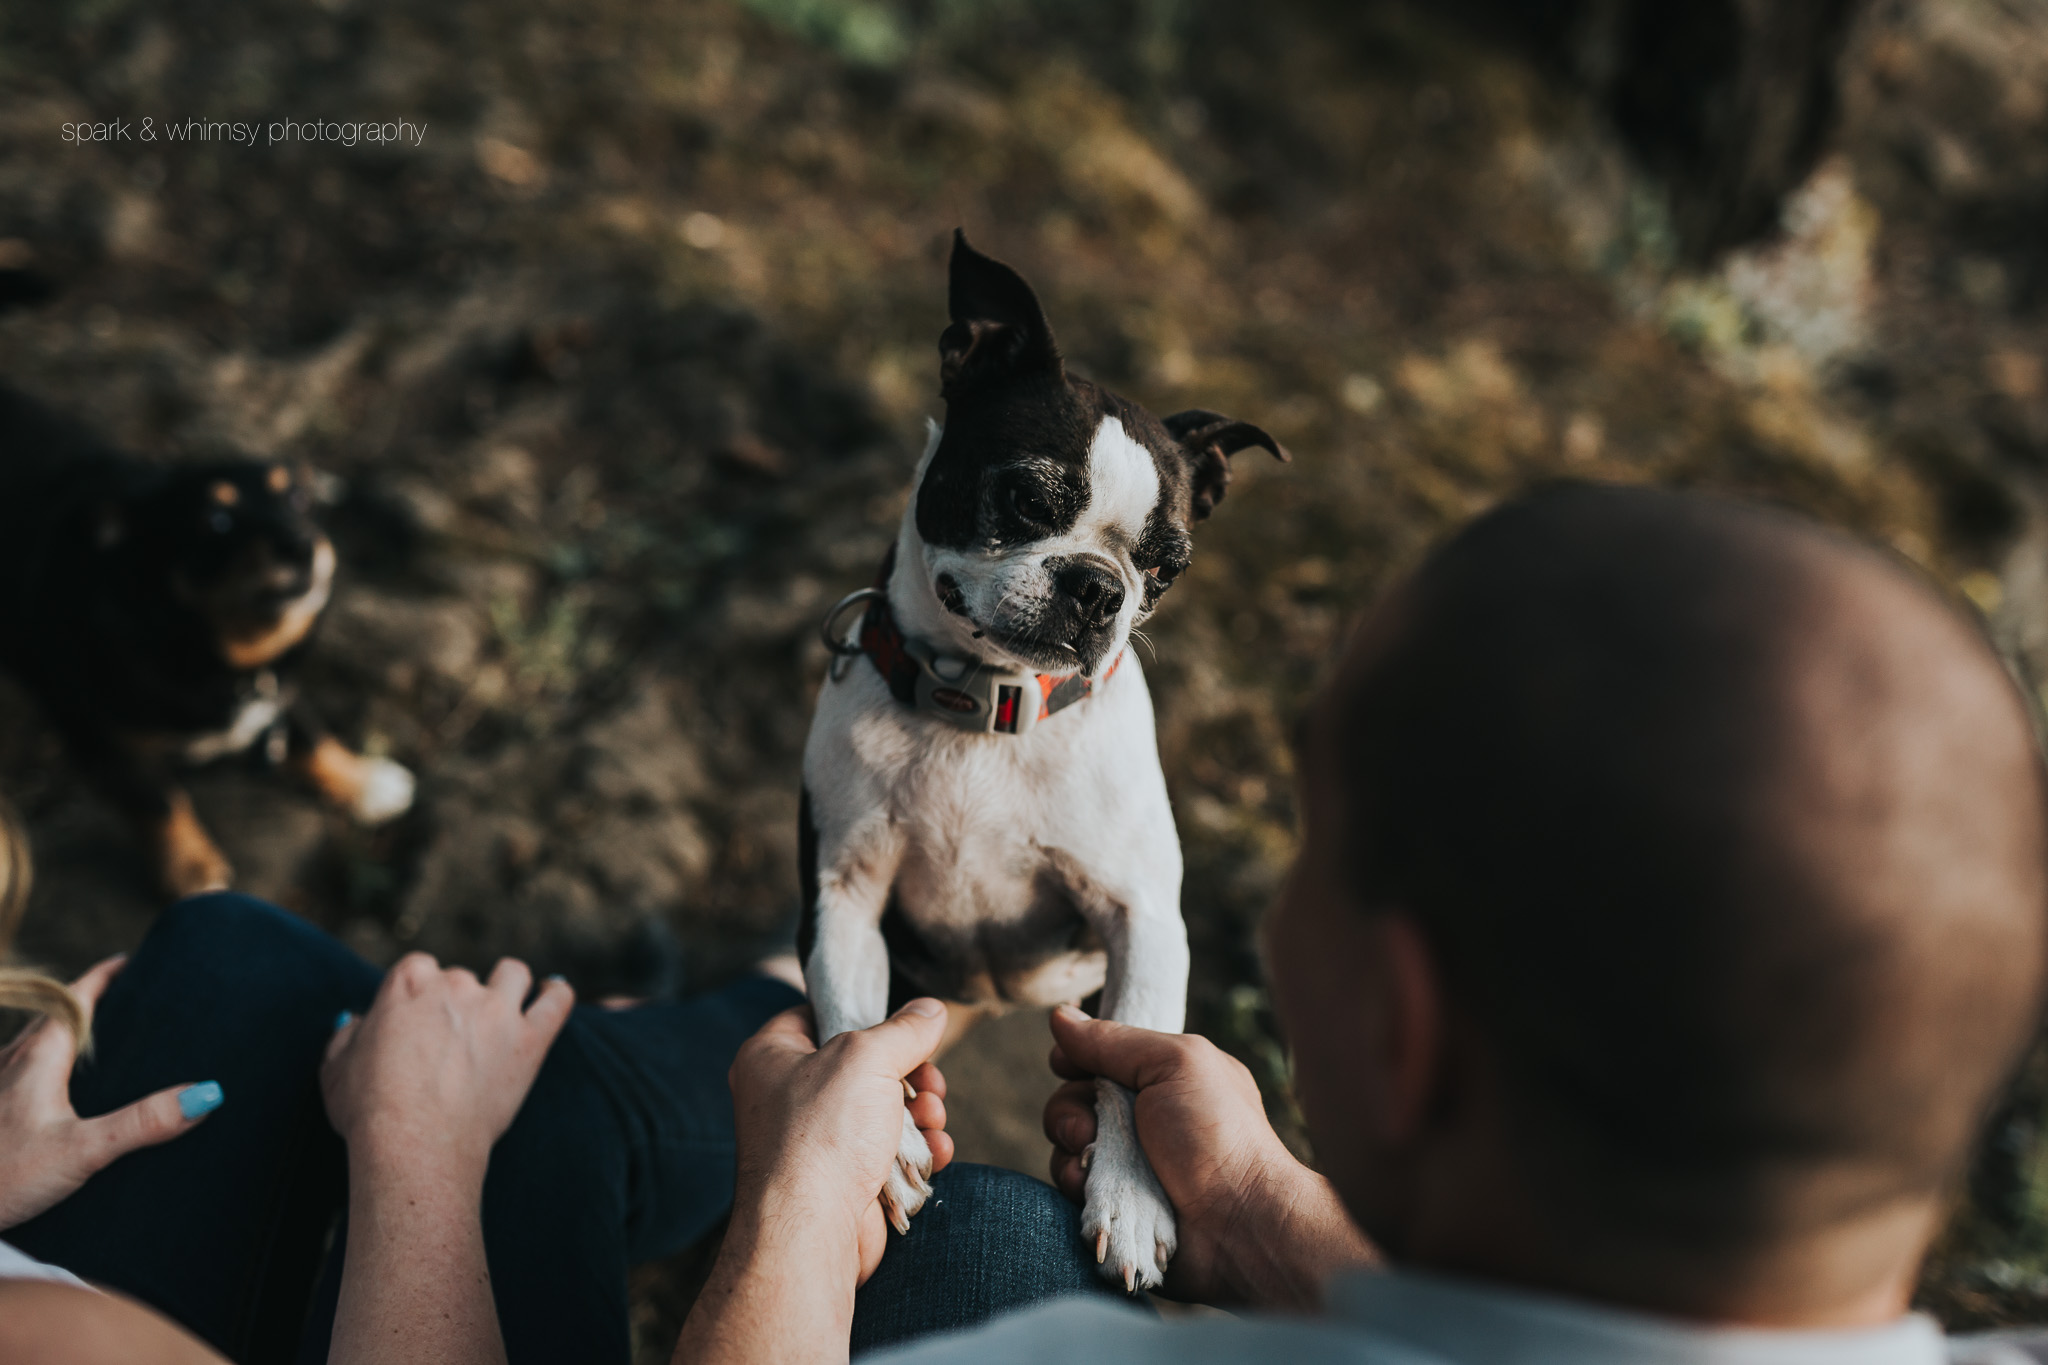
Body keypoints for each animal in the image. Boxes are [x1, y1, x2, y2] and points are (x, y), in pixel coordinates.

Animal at [0, 384, 415, 900]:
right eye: (216, 520)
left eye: (299, 498)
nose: (301, 545)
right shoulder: (102, 740)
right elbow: (158, 801)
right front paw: (193, 870)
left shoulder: (278, 685)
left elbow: (310, 732)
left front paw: (362, 782)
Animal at [798, 235, 1277, 1293]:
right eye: (1023, 497)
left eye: (1166, 570)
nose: (1099, 587)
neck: (988, 711)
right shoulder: (843, 897)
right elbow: (851, 1022)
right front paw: (881, 1143)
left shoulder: (1141, 919)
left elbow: (1134, 1063)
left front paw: (1130, 1200)